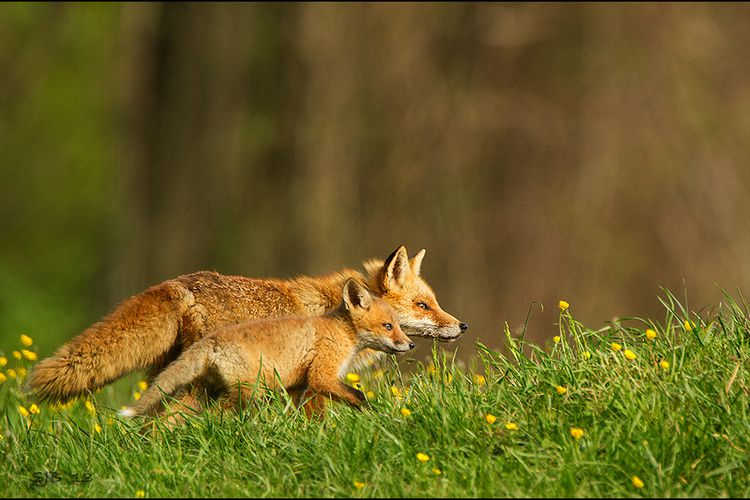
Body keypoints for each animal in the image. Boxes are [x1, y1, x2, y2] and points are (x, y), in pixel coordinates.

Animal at [120, 278, 413, 418]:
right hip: (249, 392)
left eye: (398, 325)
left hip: (210, 390)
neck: (341, 333)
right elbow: (359, 397)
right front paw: (376, 417)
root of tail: (212, 340)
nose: (410, 344)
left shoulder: (299, 385)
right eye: (388, 326)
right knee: (213, 417)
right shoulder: (322, 375)